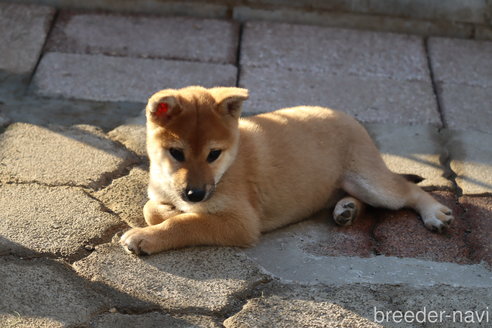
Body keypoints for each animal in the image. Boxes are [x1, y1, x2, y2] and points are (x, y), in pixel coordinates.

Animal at [120, 86, 454, 255]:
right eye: (176, 153)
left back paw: (434, 213)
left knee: (407, 189)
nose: (195, 194)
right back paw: (346, 209)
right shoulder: (163, 193)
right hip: (353, 183)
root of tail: (347, 116)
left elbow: (185, 224)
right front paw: (171, 211)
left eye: (213, 154)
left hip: (370, 181)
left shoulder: (243, 223)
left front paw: (147, 237)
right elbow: (152, 208)